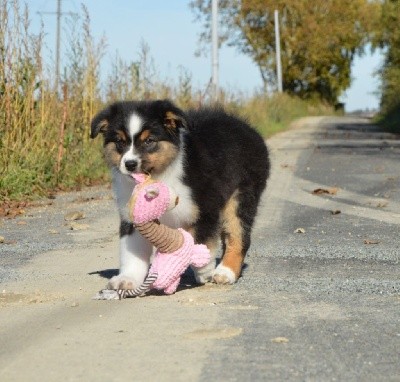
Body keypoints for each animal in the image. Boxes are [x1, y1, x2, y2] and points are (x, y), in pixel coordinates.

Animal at [90, 99, 270, 290]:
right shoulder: (133, 214)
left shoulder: (206, 207)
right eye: (119, 141)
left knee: (238, 235)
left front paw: (203, 269)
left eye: (149, 141)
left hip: (242, 195)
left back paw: (225, 272)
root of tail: (248, 128)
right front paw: (127, 279)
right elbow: (132, 252)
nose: (130, 164)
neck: (160, 176)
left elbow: (203, 239)